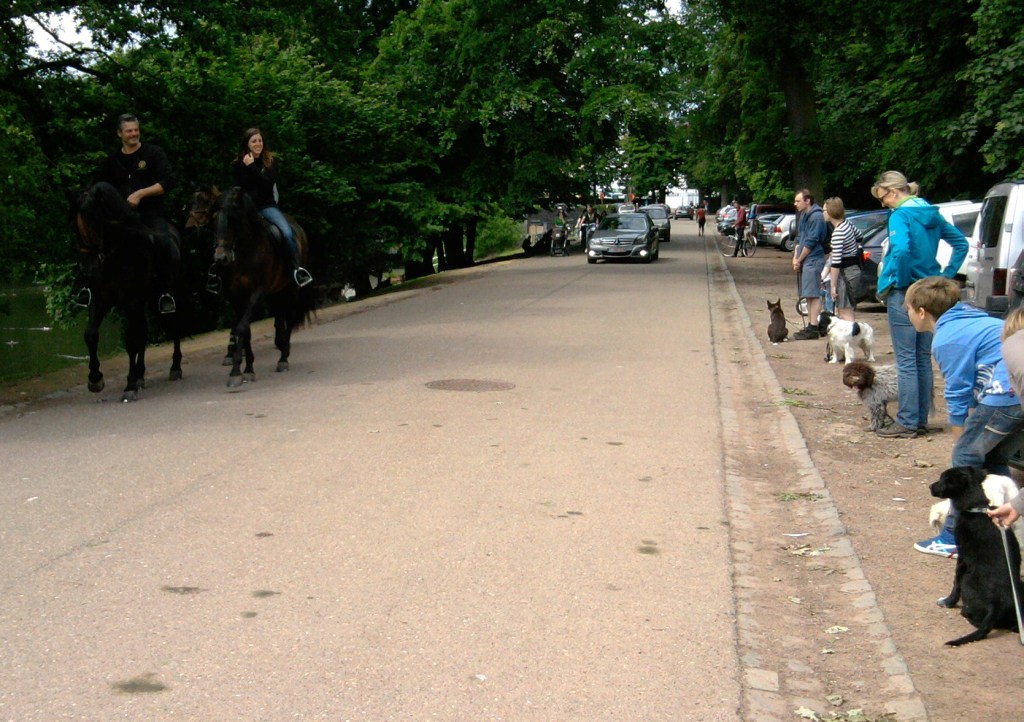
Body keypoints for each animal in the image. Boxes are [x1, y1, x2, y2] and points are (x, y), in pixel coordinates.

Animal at [72, 180, 184, 403]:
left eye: (96, 222)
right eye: (76, 225)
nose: (89, 267)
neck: (116, 255)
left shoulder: (131, 302)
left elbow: (131, 341)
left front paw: (130, 386)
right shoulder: (99, 300)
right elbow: (91, 334)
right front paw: (95, 379)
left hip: (167, 296)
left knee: (173, 325)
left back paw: (175, 367)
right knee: (144, 331)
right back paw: (140, 375)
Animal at [210, 188, 311, 385]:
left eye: (233, 218)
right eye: (214, 218)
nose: (221, 258)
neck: (245, 252)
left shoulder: (257, 293)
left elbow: (242, 327)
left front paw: (236, 372)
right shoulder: (236, 297)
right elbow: (245, 330)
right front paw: (247, 369)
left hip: (291, 290)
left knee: (290, 317)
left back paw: (283, 358)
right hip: (276, 292)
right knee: (279, 316)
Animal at [933, 466, 1019, 647]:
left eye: (943, 479)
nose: (930, 486)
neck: (977, 507)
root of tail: (996, 604)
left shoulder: (962, 556)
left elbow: (955, 583)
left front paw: (948, 602)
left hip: (968, 580)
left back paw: (965, 613)